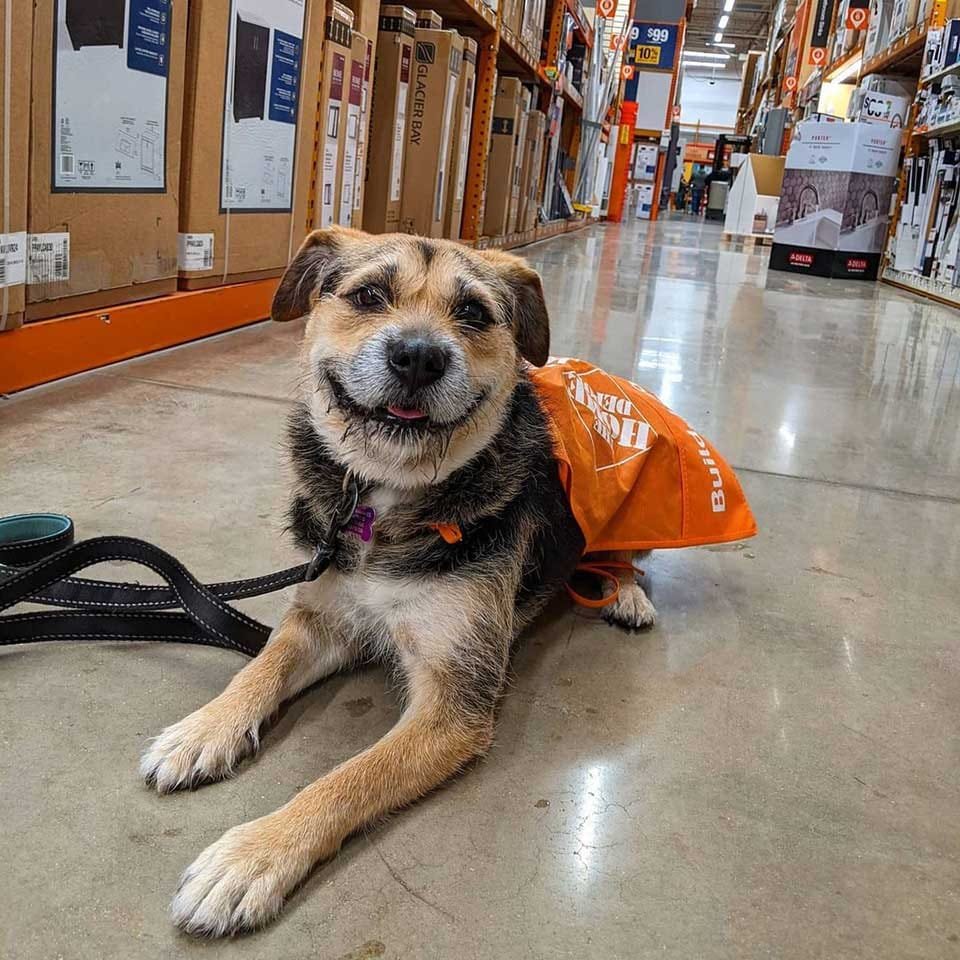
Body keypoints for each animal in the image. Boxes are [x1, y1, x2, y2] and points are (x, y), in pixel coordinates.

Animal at [139, 229, 656, 932]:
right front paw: (203, 729)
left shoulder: (453, 701)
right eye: (368, 296)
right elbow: (261, 668)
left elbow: (349, 776)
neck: (385, 501)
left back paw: (626, 591)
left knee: (628, 556)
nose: (417, 356)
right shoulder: (322, 616)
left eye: (473, 313)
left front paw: (254, 856)